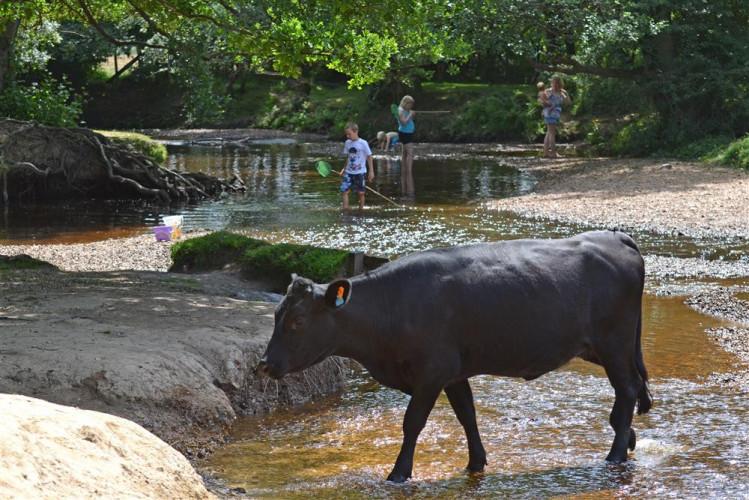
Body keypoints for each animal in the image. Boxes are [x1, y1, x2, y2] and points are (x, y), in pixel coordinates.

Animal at [256, 230, 648, 480]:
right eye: (276, 315)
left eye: (297, 321)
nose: (265, 364)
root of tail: (615, 237)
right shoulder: (455, 372)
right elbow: (467, 417)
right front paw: (476, 463)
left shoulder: (432, 371)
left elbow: (413, 422)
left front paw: (398, 473)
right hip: (601, 347)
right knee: (630, 391)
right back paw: (627, 439)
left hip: (614, 341)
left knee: (628, 390)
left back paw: (614, 455)